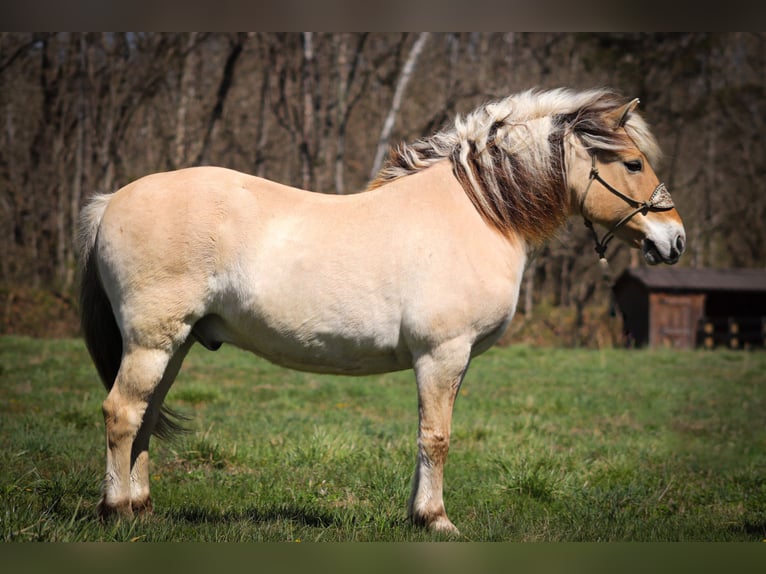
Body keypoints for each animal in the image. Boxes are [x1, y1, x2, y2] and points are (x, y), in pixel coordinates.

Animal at [78, 88, 688, 536]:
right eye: (632, 162)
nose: (675, 240)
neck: (477, 213)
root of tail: (111, 202)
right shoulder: (443, 354)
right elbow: (436, 437)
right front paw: (436, 520)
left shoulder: (450, 362)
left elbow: (427, 434)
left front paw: (418, 515)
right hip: (153, 342)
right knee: (122, 413)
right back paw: (115, 512)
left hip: (174, 344)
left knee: (146, 415)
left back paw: (142, 509)